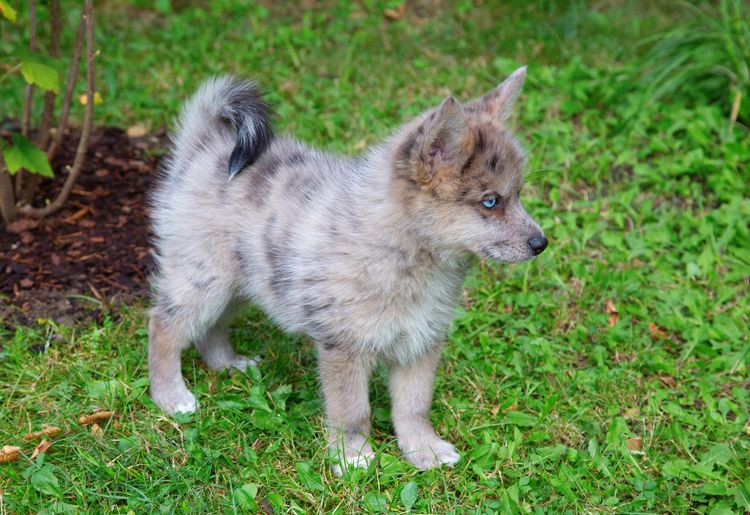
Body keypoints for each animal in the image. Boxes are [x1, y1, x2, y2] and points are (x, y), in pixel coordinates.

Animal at [148, 68, 548, 476]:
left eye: (517, 194)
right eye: (490, 202)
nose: (541, 243)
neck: (406, 256)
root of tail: (205, 146)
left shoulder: (420, 342)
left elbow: (414, 407)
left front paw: (424, 449)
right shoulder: (344, 347)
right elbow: (352, 410)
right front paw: (352, 455)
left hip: (241, 286)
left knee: (209, 327)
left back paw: (228, 363)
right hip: (205, 280)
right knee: (163, 326)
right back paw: (170, 395)